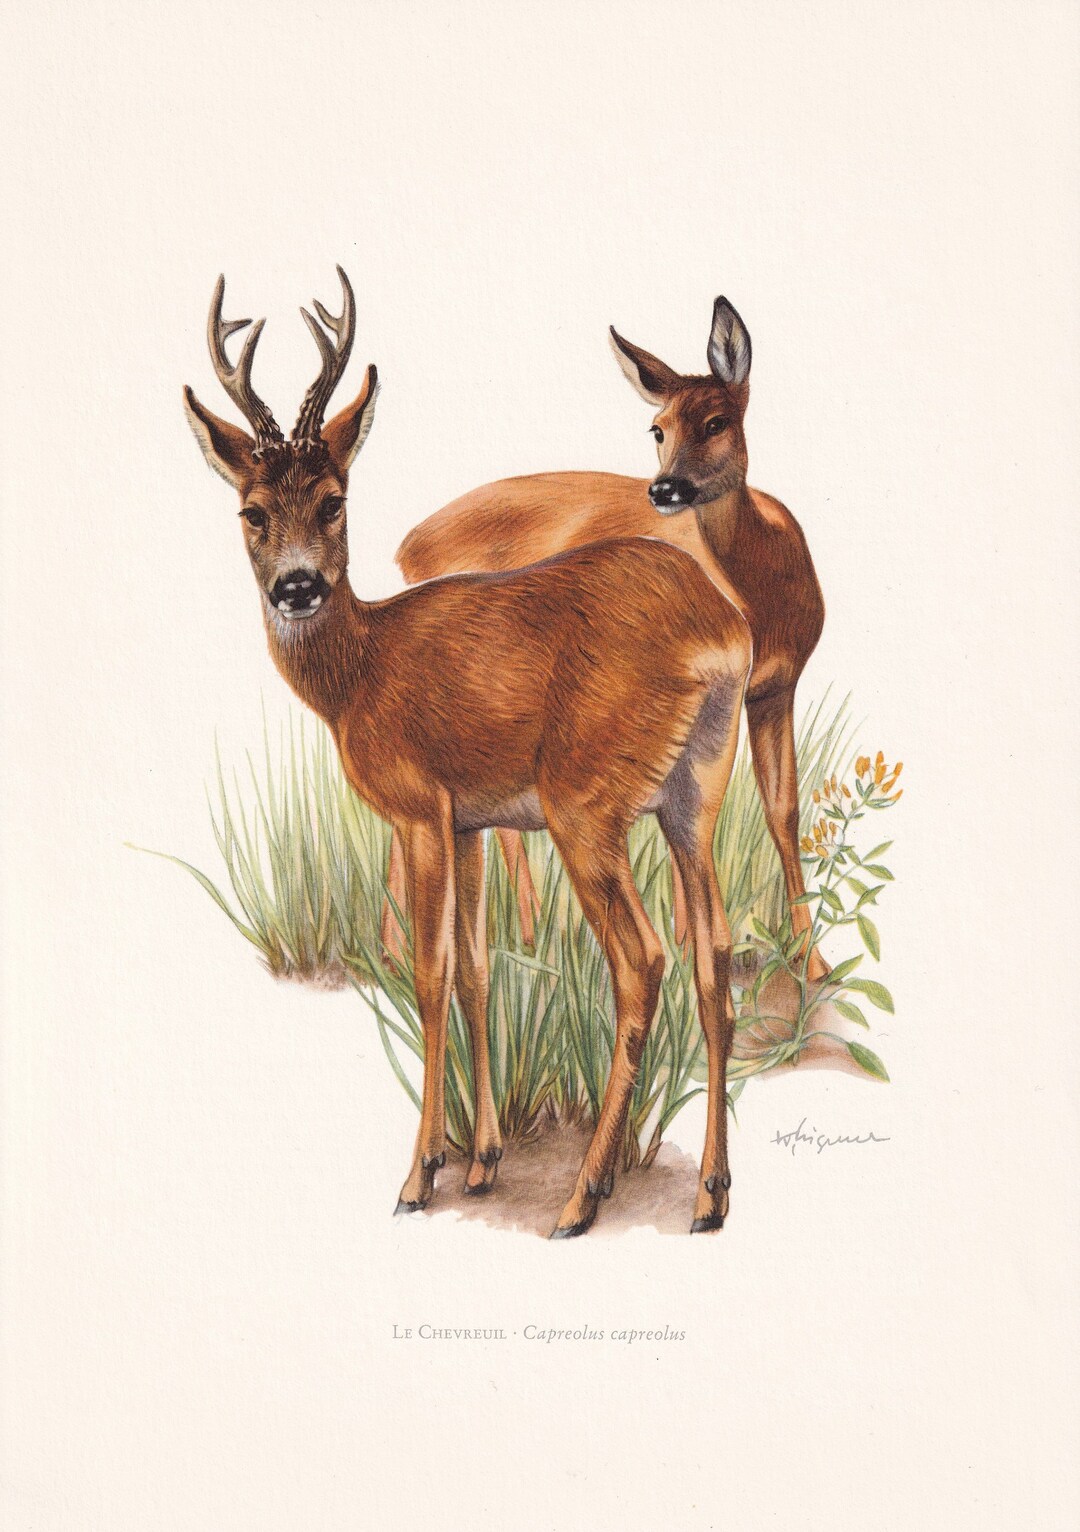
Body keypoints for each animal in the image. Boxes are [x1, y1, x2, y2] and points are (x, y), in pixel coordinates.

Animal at [183, 269, 754, 1237]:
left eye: (334, 499)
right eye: (250, 511)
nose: (296, 586)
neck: (361, 670)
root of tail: (720, 633)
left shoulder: (419, 807)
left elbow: (429, 971)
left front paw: (421, 1174)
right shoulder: (472, 821)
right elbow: (480, 969)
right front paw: (484, 1160)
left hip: (585, 799)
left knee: (643, 960)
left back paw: (582, 1196)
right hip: (695, 792)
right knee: (711, 955)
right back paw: (711, 1197)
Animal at [394, 298, 828, 979]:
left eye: (717, 420)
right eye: (657, 429)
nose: (665, 489)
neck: (763, 593)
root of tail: (406, 546)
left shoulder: (776, 687)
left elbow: (781, 810)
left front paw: (813, 964)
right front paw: (700, 947)